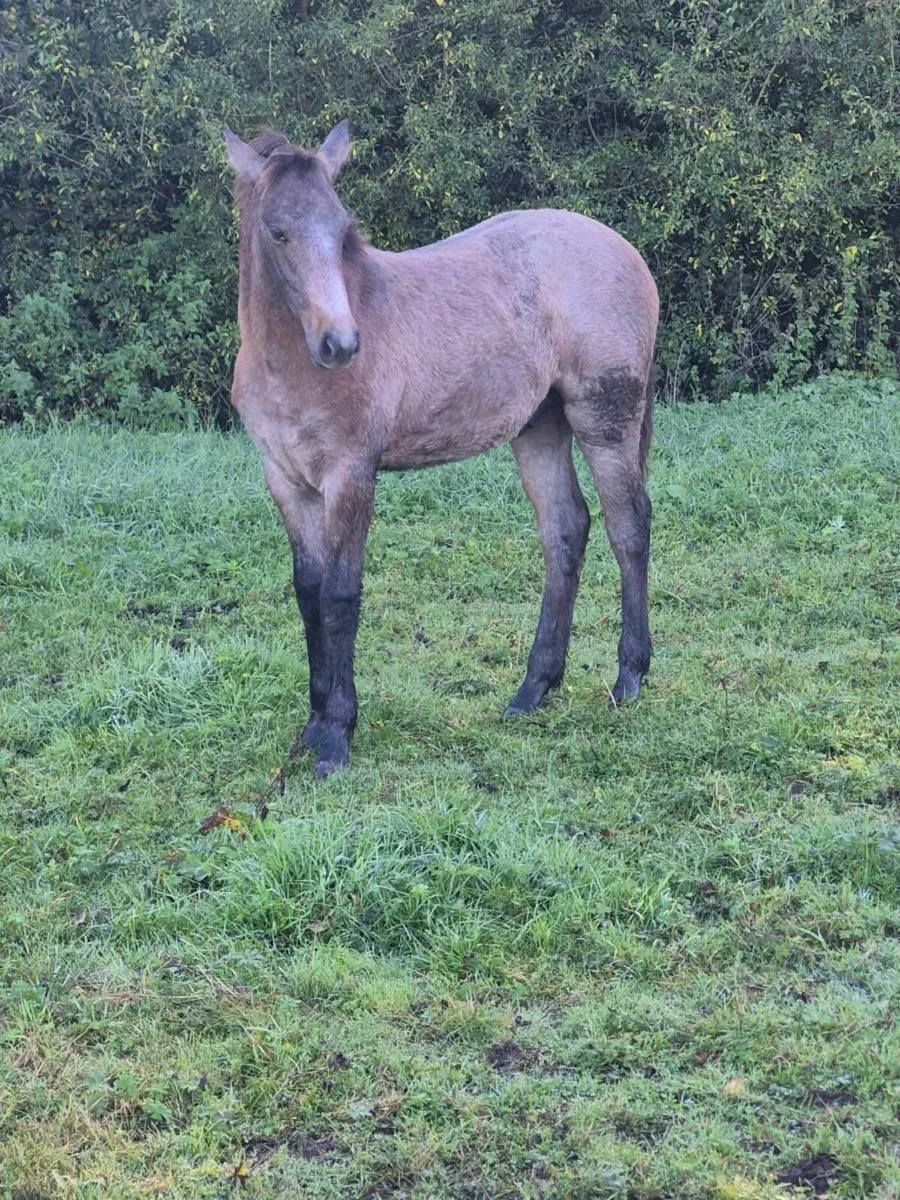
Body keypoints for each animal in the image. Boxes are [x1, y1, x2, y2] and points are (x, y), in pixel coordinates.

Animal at [224, 120, 658, 778]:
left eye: (342, 227)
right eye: (279, 231)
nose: (340, 344)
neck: (288, 363)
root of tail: (629, 254)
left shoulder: (351, 475)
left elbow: (339, 595)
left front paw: (336, 738)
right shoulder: (285, 479)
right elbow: (306, 593)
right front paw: (311, 726)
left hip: (605, 417)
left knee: (627, 525)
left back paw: (629, 677)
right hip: (540, 425)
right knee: (565, 529)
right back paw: (534, 689)